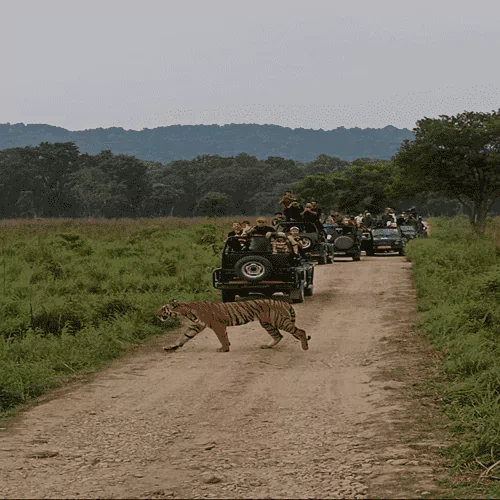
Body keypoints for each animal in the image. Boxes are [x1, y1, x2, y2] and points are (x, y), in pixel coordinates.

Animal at [157, 298, 312, 354]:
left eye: (163, 309)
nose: (156, 314)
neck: (186, 312)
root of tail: (284, 302)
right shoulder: (195, 326)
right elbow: (183, 338)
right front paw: (170, 347)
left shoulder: (218, 325)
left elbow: (222, 337)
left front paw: (224, 349)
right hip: (267, 323)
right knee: (278, 336)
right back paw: (266, 346)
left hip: (280, 321)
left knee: (300, 331)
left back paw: (305, 347)